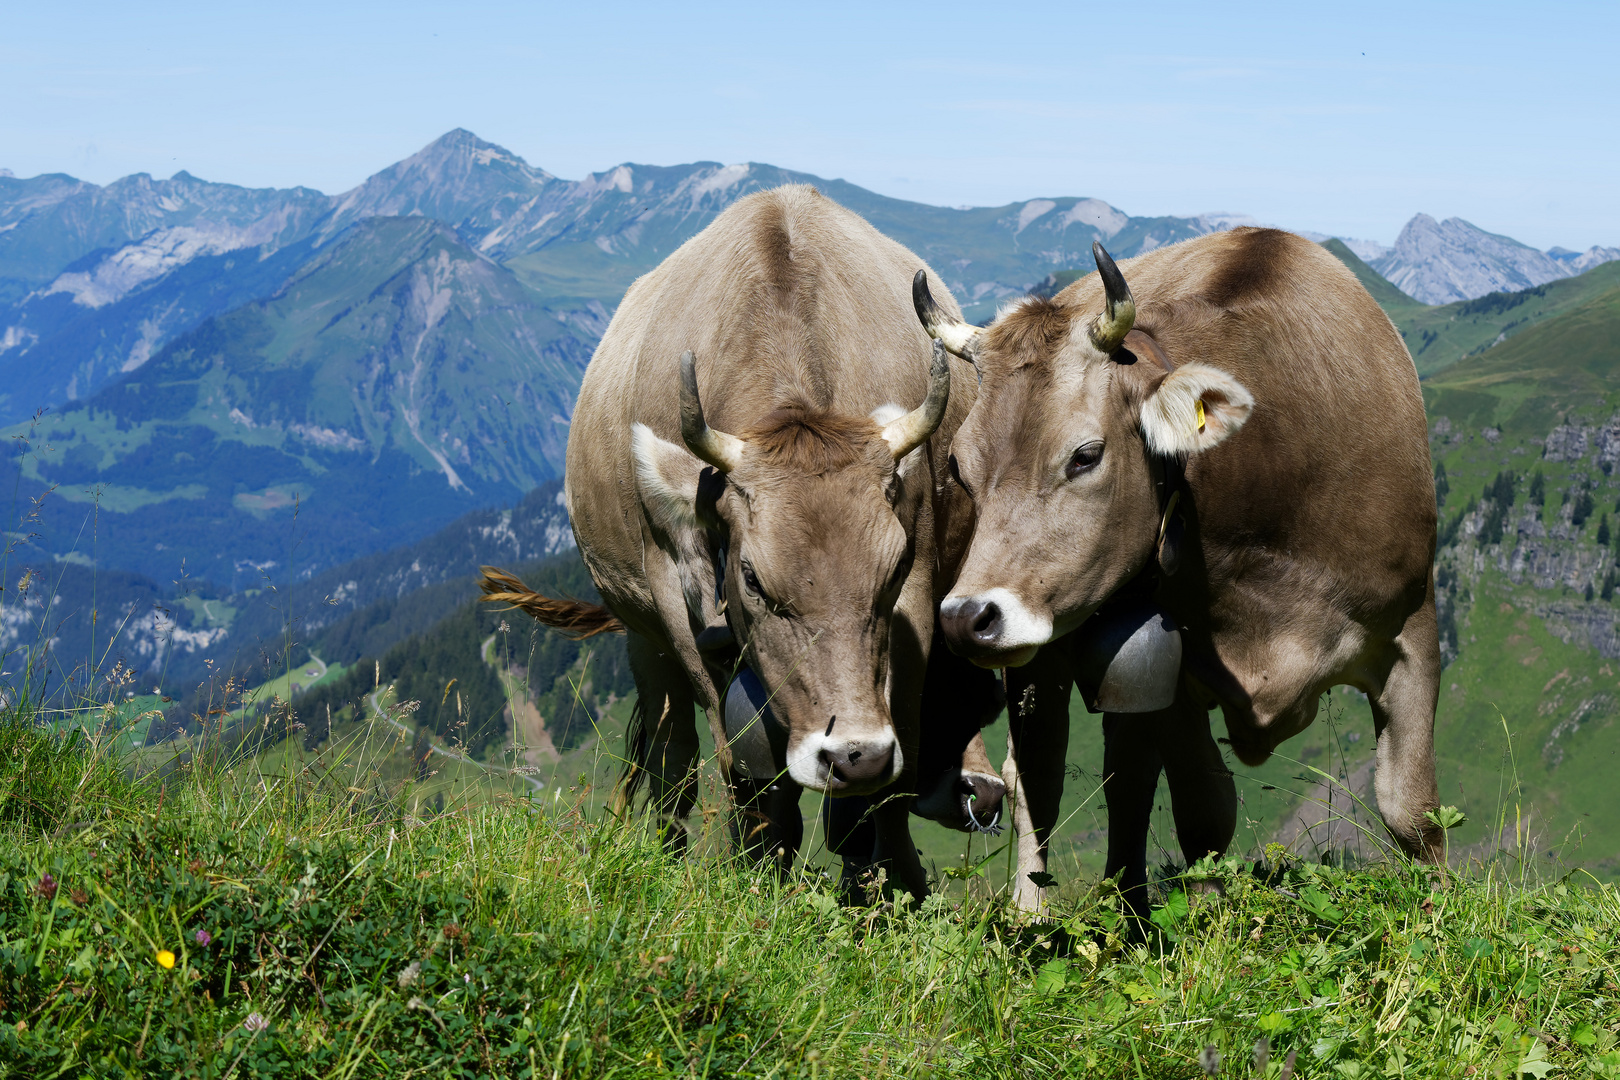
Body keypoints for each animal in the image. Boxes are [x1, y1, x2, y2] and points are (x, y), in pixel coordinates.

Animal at [557, 186, 997, 893]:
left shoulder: (917, 602)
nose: (855, 755)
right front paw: (758, 875)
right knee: (672, 756)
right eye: (754, 579)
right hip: (641, 634)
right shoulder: (679, 603)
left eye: (893, 569)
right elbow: (743, 773)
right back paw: (669, 850)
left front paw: (891, 883)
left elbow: (884, 785)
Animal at [920, 228, 1438, 913]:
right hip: (1048, 657)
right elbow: (1204, 809)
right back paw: (1034, 914)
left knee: (1126, 778)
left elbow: (1412, 811)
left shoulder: (1413, 631)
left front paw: (1441, 908)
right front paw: (1208, 917)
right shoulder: (1173, 667)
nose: (964, 617)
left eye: (1085, 455)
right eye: (959, 464)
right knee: (1038, 775)